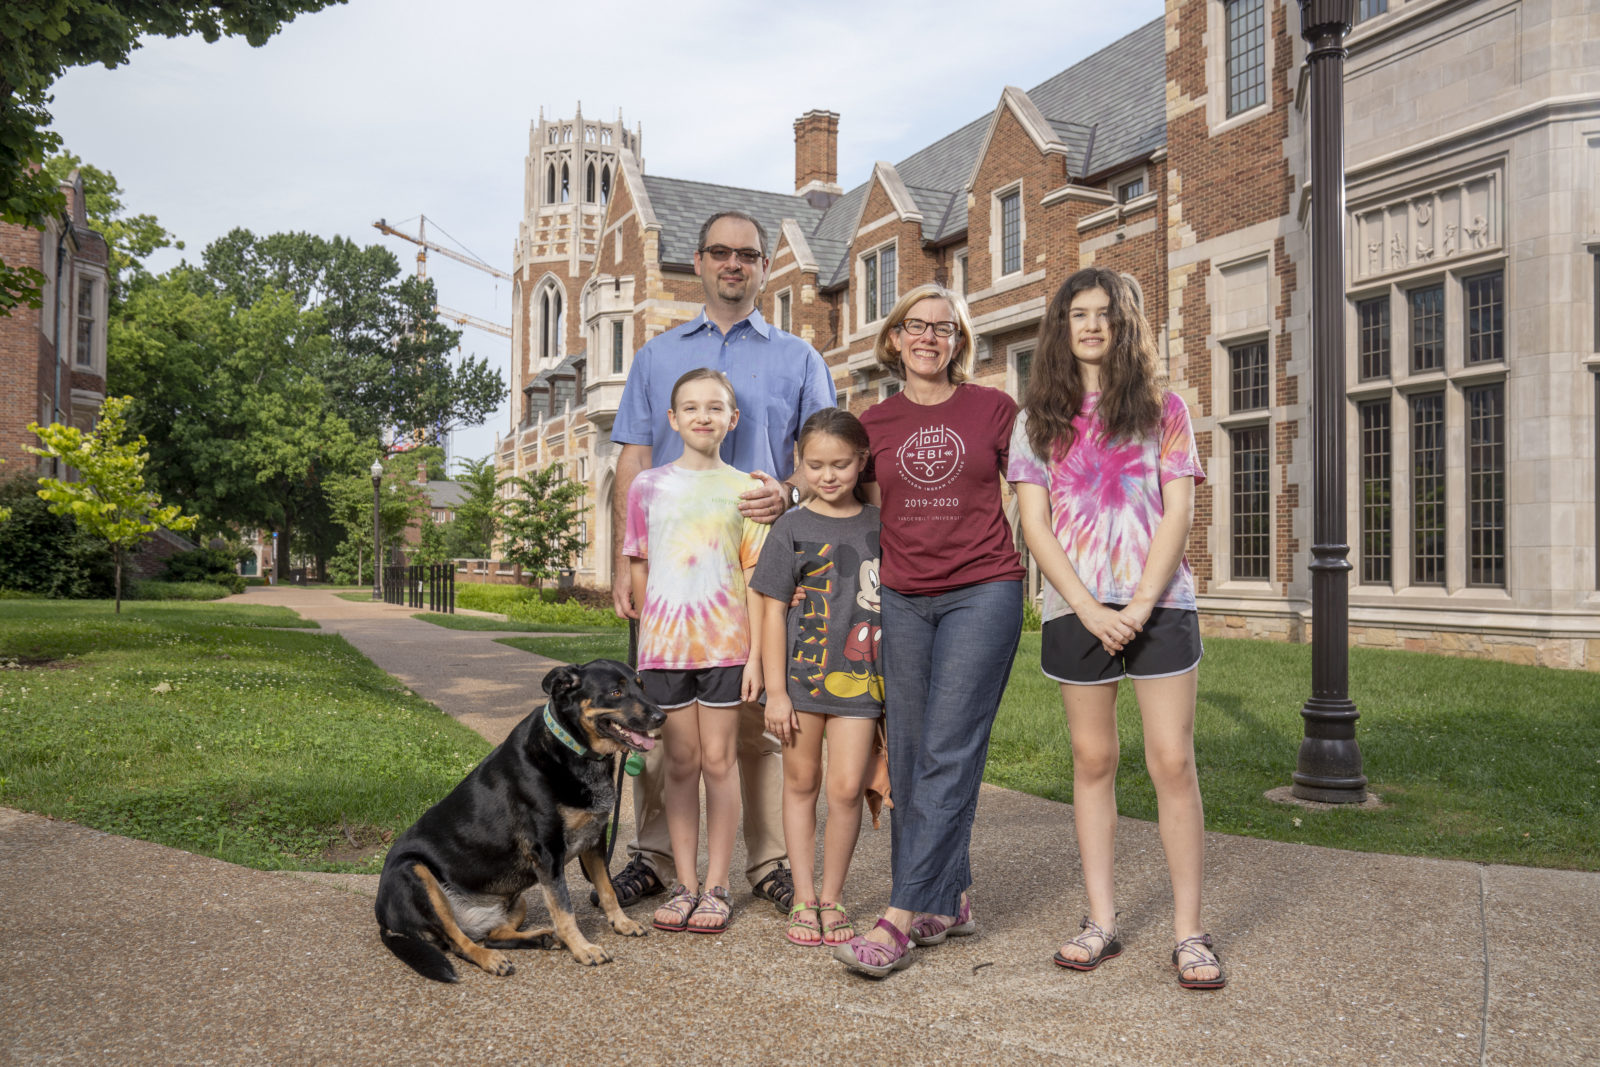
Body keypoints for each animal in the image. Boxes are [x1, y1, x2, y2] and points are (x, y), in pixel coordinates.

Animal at [374, 659, 662, 985]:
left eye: (641, 686)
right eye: (615, 692)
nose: (661, 717)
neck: (572, 748)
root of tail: (384, 920)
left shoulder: (594, 841)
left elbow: (607, 889)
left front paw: (622, 923)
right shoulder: (548, 856)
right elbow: (565, 910)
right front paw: (583, 948)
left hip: (515, 900)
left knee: (494, 935)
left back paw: (543, 937)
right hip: (415, 872)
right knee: (459, 943)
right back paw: (491, 959)